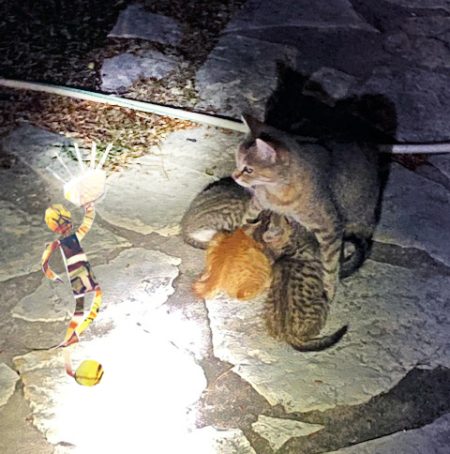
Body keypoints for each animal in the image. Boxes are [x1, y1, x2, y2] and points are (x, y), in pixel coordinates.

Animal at [233, 114, 382, 301]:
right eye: (237, 161)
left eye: (249, 170)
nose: (234, 176)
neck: (277, 192)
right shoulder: (259, 202)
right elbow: (248, 217)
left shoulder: (329, 228)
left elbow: (330, 264)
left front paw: (329, 290)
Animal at [250, 210, 348, 352]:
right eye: (273, 217)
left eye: (267, 215)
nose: (270, 209)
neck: (290, 247)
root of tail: (288, 334)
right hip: (321, 302)